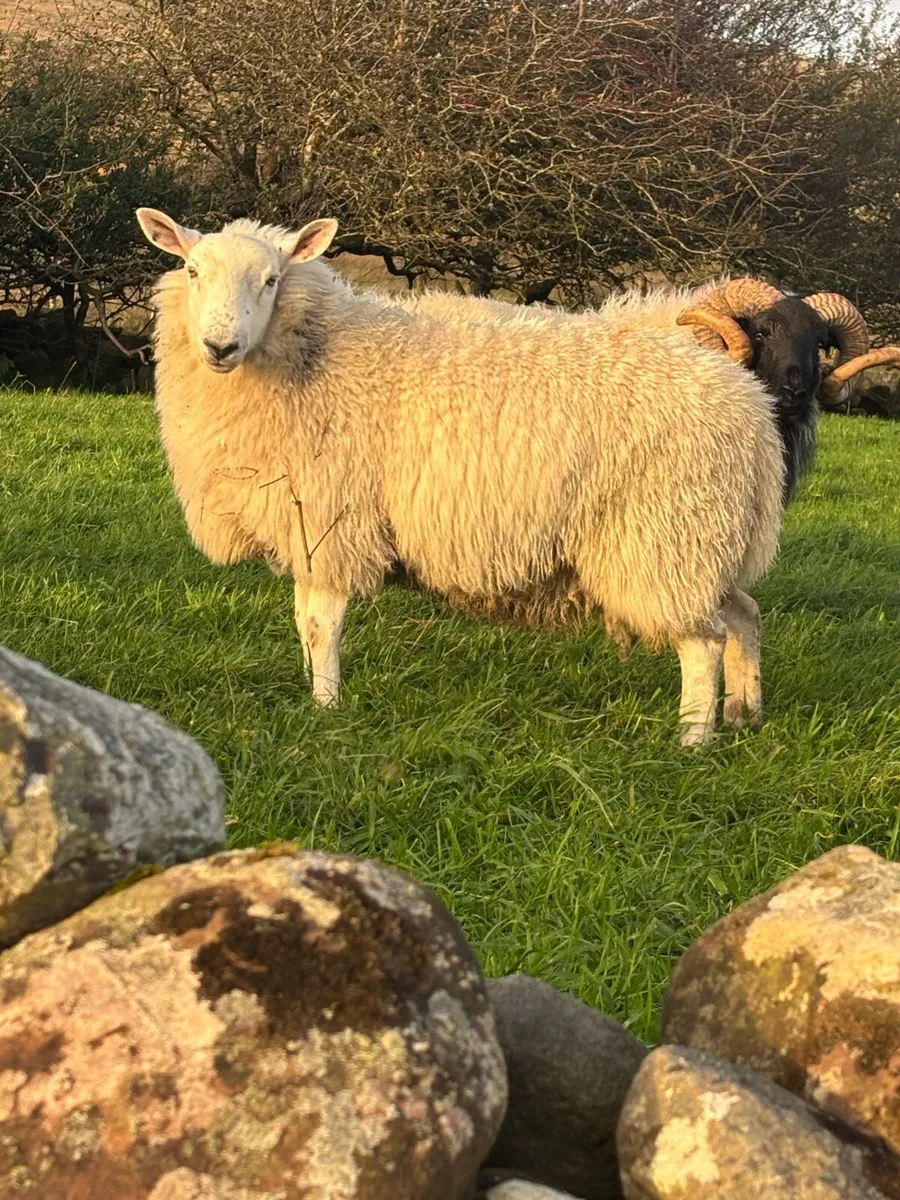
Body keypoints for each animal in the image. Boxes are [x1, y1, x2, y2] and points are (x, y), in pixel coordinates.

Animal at [135, 206, 785, 746]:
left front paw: (326, 707)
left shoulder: (333, 521)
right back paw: (745, 714)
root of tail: (755, 414)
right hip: (703, 540)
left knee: (702, 642)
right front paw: (311, 689)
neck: (317, 355)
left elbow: (320, 626)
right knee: (743, 616)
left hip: (664, 535)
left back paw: (693, 738)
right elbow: (302, 623)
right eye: (192, 270)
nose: (220, 345)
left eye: (271, 279)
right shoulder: (307, 527)